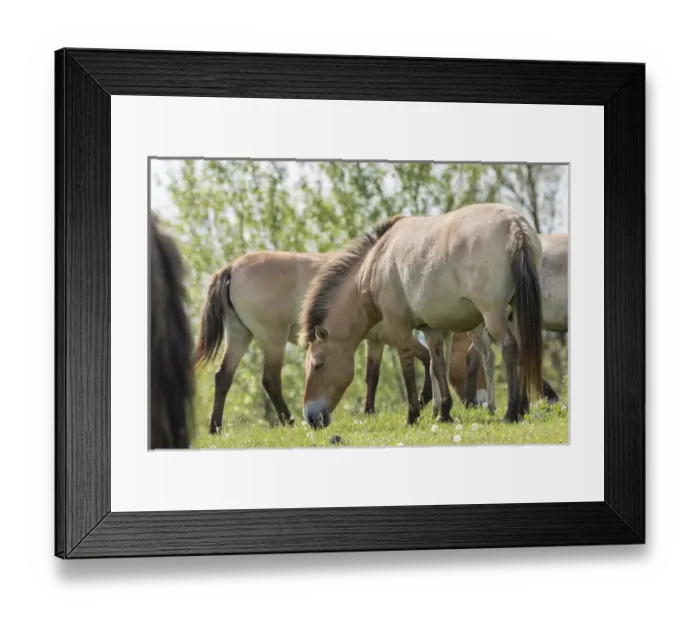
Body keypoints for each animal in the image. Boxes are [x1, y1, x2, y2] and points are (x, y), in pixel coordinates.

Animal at [193, 250, 433, 434]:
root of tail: (231, 268)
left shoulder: (375, 341)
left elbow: (372, 376)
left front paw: (369, 413)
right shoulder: (391, 335)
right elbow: (426, 356)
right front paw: (423, 399)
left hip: (239, 334)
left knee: (223, 377)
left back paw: (215, 428)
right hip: (272, 338)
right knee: (270, 380)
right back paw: (289, 421)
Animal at [298, 202, 544, 429]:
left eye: (318, 364)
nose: (310, 417)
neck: (376, 261)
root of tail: (514, 225)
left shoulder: (398, 326)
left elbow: (407, 367)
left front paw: (413, 414)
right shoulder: (431, 328)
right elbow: (438, 365)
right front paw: (443, 412)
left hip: (493, 314)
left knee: (509, 347)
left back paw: (511, 411)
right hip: (515, 313)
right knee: (521, 350)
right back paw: (522, 407)